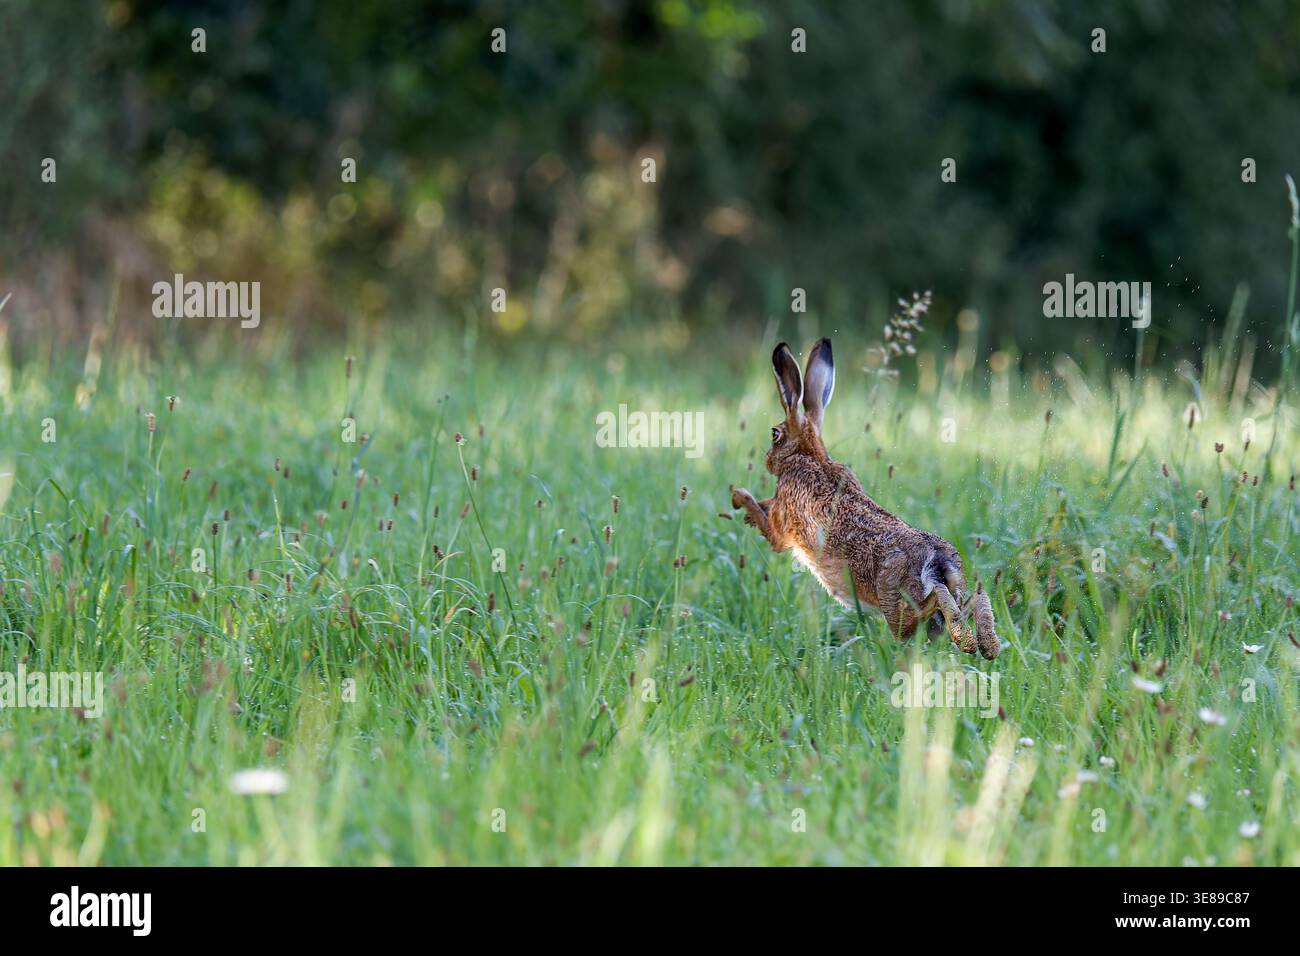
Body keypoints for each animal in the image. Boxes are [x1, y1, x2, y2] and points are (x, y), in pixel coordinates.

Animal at [730, 338, 999, 660]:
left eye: (775, 434)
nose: (768, 461)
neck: (809, 456)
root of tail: (938, 560)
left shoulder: (782, 528)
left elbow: (768, 526)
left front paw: (739, 499)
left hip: (896, 604)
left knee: (929, 606)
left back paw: (967, 639)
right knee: (973, 599)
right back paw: (987, 643)